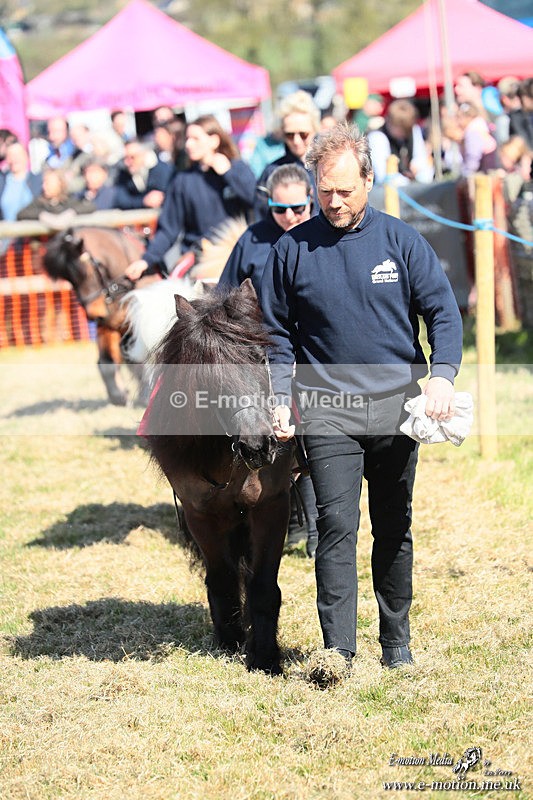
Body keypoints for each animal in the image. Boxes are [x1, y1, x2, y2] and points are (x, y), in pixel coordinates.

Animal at [142, 279, 294, 675]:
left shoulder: (272, 505)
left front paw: (265, 656)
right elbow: (223, 578)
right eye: (208, 372)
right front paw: (231, 640)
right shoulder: (200, 513)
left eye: (260, 358)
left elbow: (262, 584)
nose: (258, 445)